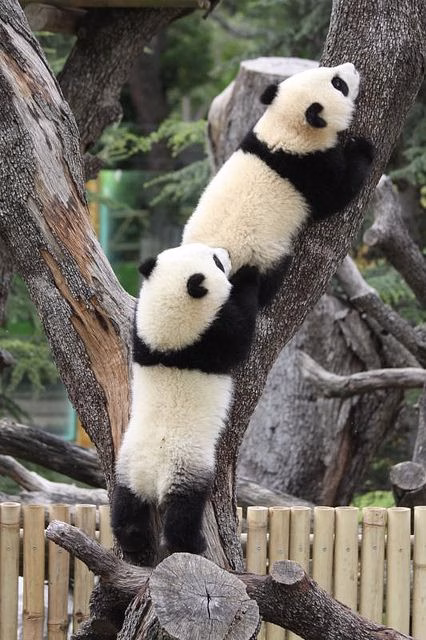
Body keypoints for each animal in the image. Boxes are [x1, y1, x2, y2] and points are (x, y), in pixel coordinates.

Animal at [111, 243, 259, 564]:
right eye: (216, 261)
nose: (226, 252)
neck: (169, 343)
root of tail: (151, 478)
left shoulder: (142, 337)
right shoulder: (212, 338)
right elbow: (241, 330)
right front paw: (250, 275)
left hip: (127, 465)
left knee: (126, 506)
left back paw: (133, 539)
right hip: (185, 467)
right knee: (184, 511)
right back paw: (192, 544)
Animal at [182, 62, 374, 306]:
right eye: (338, 84)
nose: (352, 67)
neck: (286, 129)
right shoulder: (308, 167)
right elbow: (336, 195)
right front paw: (362, 148)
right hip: (259, 254)